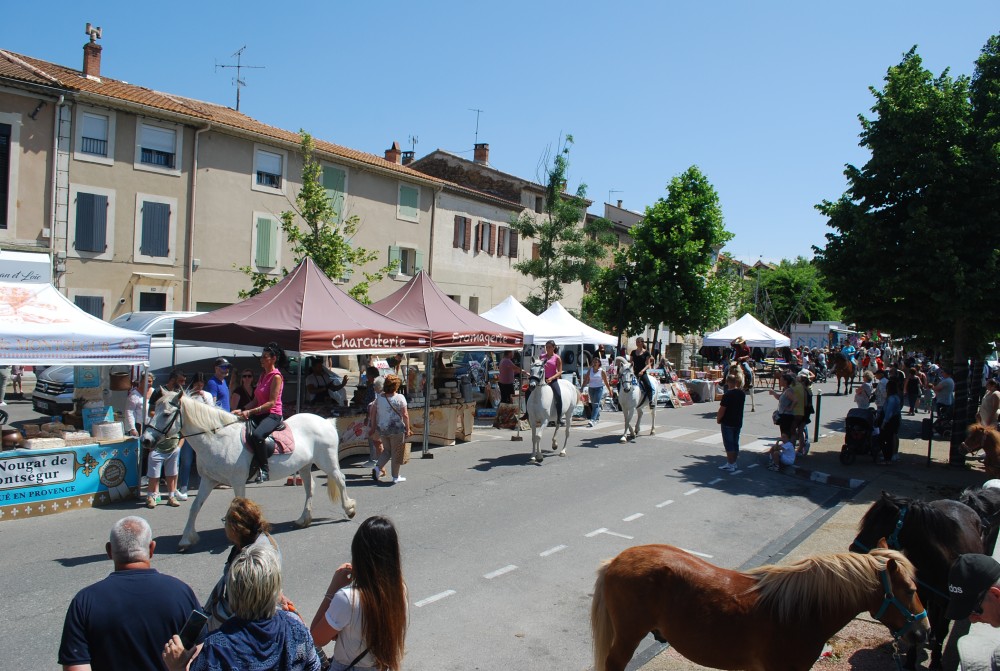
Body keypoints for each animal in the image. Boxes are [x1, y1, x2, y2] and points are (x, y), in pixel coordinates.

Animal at [143, 388, 358, 552]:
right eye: (153, 410)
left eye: (166, 414)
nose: (146, 440)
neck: (218, 439)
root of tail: (325, 421)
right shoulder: (208, 480)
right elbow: (195, 507)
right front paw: (187, 539)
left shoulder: (237, 481)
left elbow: (237, 507)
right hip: (305, 465)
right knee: (310, 487)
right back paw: (303, 519)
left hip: (326, 461)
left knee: (340, 479)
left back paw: (349, 510)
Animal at [852, 490, 984, 668]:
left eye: (876, 524)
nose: (854, 548)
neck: (939, 561)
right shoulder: (919, 593)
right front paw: (909, 661)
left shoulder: (949, 603)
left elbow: (942, 631)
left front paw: (936, 662)